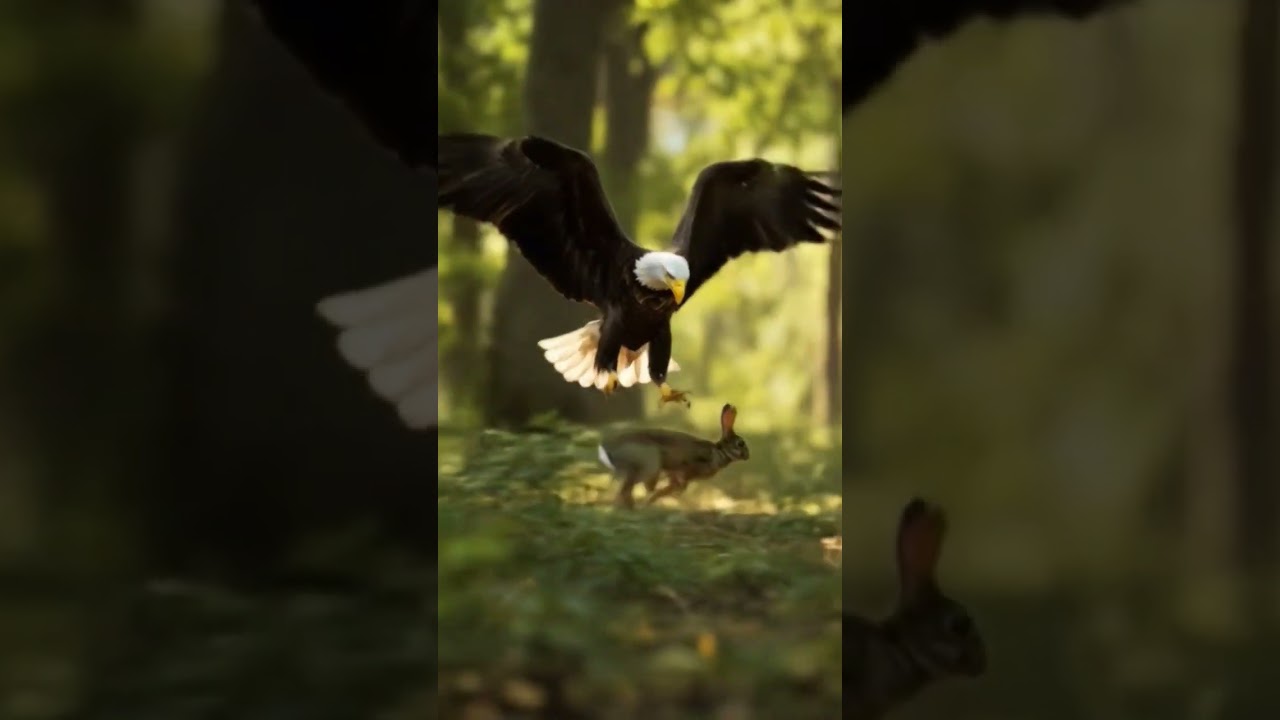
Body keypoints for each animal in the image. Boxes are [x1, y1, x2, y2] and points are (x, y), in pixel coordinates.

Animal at [596, 403, 749, 509]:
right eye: (740, 443)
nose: (747, 456)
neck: (719, 452)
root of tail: (608, 452)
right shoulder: (687, 469)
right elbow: (679, 484)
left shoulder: (674, 472)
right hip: (649, 465)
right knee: (631, 489)